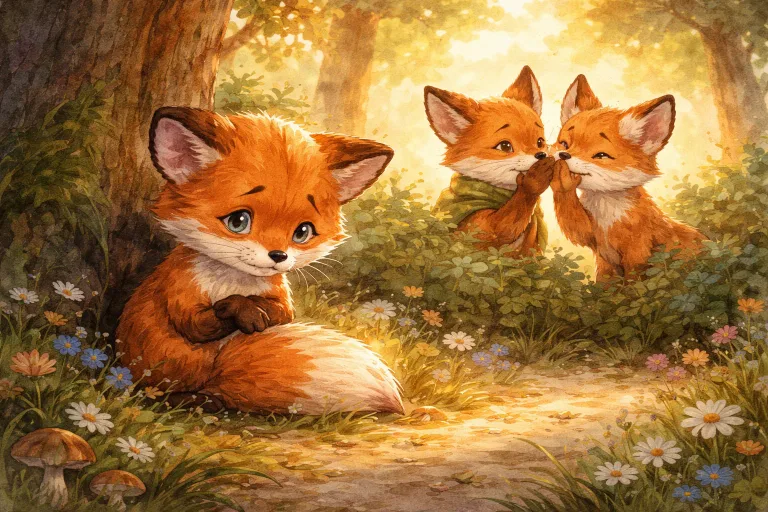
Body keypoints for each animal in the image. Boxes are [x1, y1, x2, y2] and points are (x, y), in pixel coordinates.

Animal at [115, 107, 404, 415]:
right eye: (238, 221)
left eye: (302, 232)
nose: (278, 256)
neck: (234, 280)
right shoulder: (181, 286)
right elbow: (196, 325)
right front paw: (244, 310)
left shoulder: (277, 292)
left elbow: (283, 314)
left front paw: (257, 311)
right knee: (156, 392)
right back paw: (190, 398)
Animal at [424, 66, 555, 253]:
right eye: (505, 146)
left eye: (540, 142)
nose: (541, 155)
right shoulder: (476, 227)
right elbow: (502, 228)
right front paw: (535, 181)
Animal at [551, 75, 704, 280]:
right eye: (565, 144)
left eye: (600, 155)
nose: (564, 155)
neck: (607, 216)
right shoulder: (593, 238)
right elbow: (577, 229)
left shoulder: (637, 248)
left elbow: (634, 281)